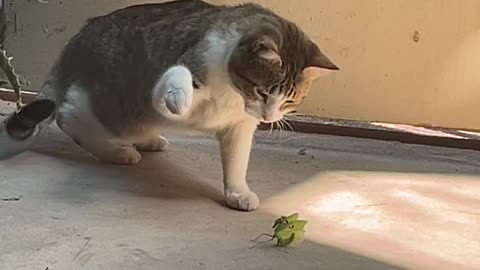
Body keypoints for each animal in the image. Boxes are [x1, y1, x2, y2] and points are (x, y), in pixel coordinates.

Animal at [0, 0, 338, 211]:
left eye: (289, 100)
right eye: (262, 91)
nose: (268, 117)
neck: (233, 94)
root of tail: (76, 40)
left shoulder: (240, 125)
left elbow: (237, 160)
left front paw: (237, 192)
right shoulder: (169, 81)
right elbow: (177, 78)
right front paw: (179, 97)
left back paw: (148, 140)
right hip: (121, 107)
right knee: (69, 114)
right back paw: (116, 152)